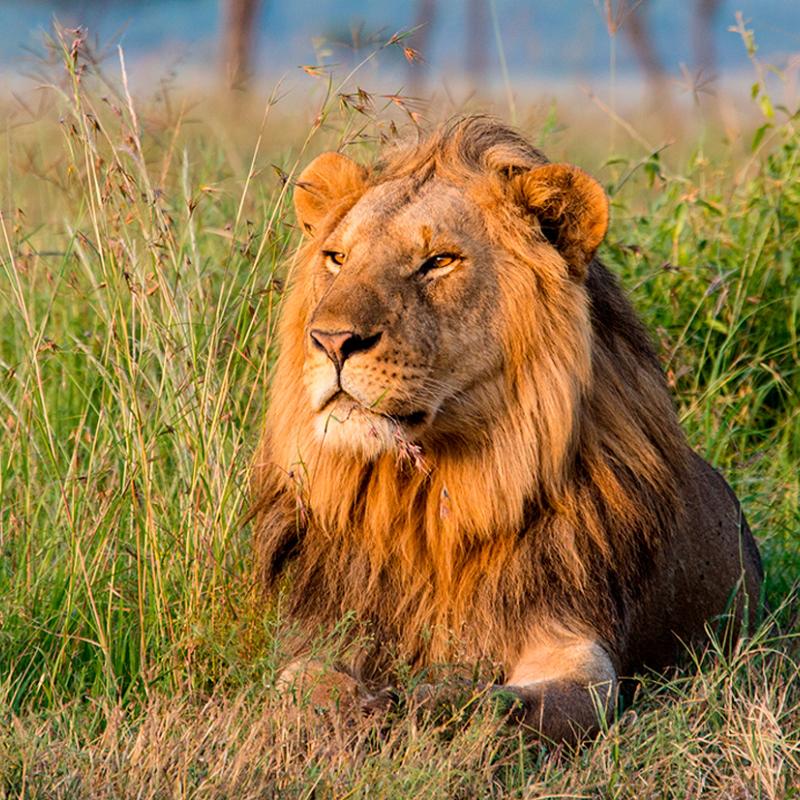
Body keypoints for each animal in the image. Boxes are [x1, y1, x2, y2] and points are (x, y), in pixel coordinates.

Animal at [251, 116, 763, 743]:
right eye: (337, 257)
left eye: (440, 261)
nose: (329, 340)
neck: (429, 501)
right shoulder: (323, 634)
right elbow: (302, 690)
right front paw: (354, 716)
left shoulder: (577, 648)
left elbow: (502, 706)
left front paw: (428, 703)